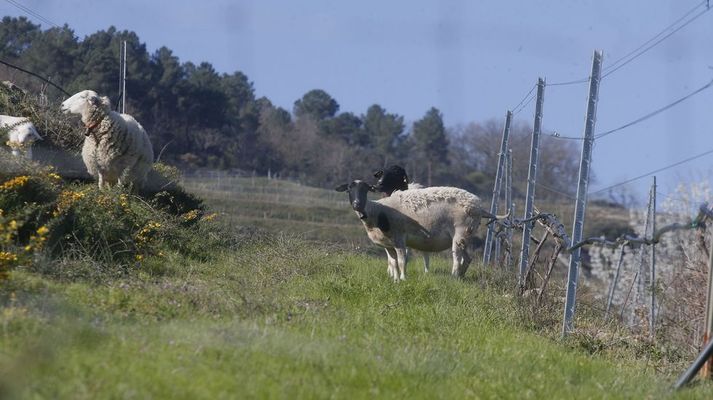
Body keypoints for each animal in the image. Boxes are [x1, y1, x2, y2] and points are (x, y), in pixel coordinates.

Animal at [336, 179, 504, 281]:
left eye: (365, 189)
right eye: (349, 189)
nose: (357, 204)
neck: (377, 211)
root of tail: (478, 207)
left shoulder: (399, 239)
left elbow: (402, 261)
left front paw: (403, 279)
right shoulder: (388, 245)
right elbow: (392, 262)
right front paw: (395, 280)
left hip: (460, 234)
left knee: (457, 259)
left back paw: (453, 278)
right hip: (466, 236)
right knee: (467, 259)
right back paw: (460, 278)